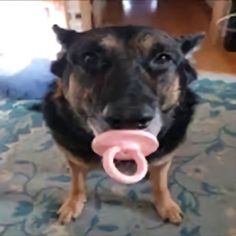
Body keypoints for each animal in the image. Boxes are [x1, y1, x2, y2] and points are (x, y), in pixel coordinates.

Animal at [42, 24, 205, 225]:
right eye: (90, 58)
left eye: (163, 58)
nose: (130, 119)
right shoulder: (74, 157)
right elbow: (77, 182)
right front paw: (73, 203)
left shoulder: (163, 158)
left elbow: (161, 183)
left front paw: (166, 205)